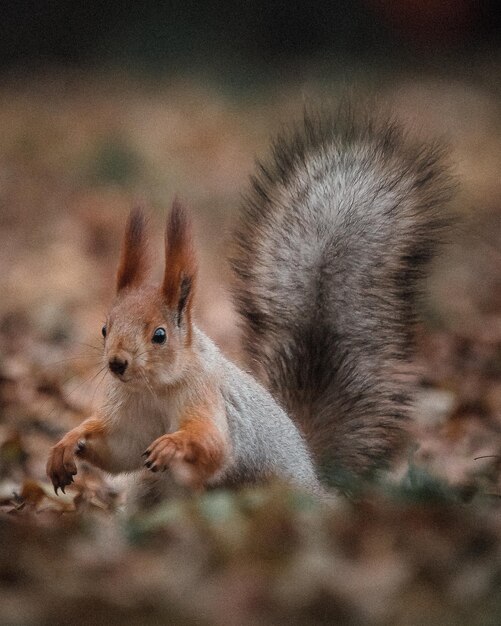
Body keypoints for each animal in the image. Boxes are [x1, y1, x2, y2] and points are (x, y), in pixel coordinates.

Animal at [47, 105, 454, 500]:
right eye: (104, 328)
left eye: (159, 335)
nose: (117, 364)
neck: (155, 390)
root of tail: (315, 476)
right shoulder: (130, 420)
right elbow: (118, 451)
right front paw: (67, 443)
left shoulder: (206, 398)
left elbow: (213, 446)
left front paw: (173, 445)